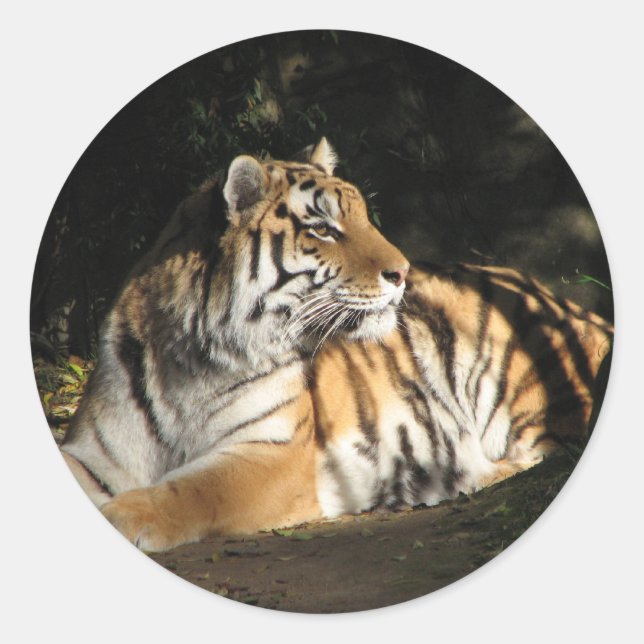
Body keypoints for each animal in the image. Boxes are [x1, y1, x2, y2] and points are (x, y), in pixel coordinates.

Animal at [59, 138, 613, 552]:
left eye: (364, 217)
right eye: (323, 229)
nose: (403, 272)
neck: (189, 360)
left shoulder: (269, 452)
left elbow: (193, 489)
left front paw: (125, 515)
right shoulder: (93, 451)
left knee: (549, 451)